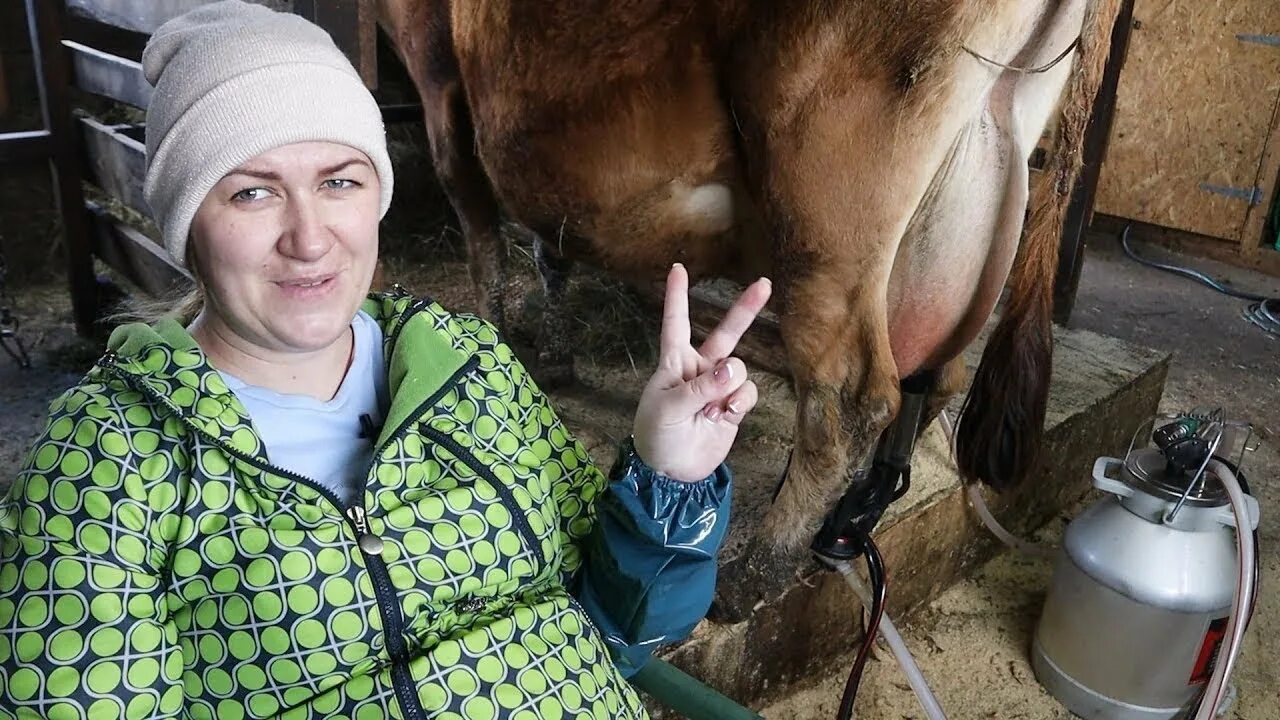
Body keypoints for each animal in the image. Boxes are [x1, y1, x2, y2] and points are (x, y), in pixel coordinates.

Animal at [376, 0, 1121, 617]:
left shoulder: (438, 78)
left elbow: (481, 236)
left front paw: (491, 347)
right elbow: (548, 249)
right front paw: (553, 355)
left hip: (826, 200)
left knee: (851, 394)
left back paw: (757, 571)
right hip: (971, 180)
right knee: (934, 372)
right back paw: (846, 523)